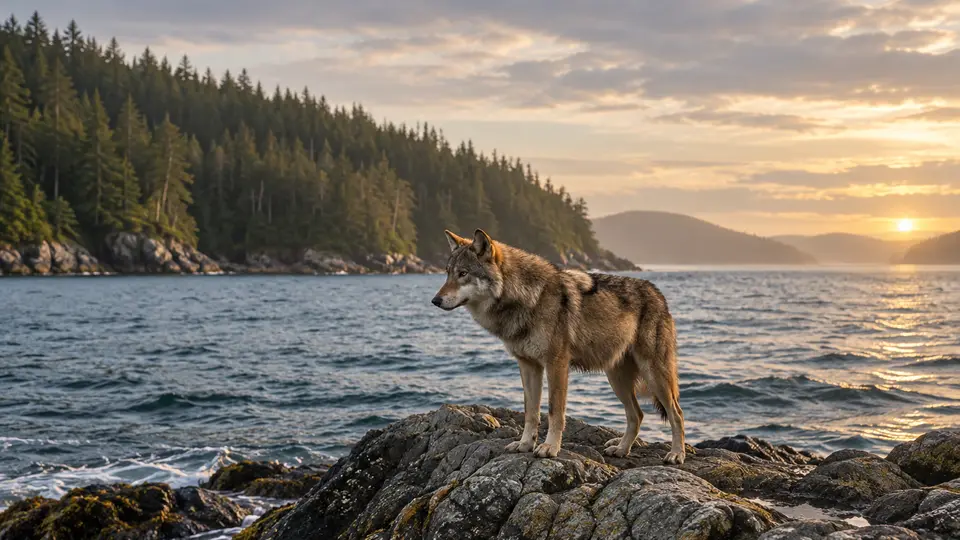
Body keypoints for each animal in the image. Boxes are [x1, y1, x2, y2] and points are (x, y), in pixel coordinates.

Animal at [431, 229, 686, 464]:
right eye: (447, 274)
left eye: (463, 274)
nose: (435, 300)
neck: (527, 298)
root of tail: (658, 294)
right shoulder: (528, 366)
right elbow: (531, 412)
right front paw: (525, 444)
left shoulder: (556, 364)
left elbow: (555, 411)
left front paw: (549, 447)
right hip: (617, 379)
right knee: (637, 415)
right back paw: (622, 449)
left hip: (654, 376)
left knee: (677, 414)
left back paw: (676, 454)